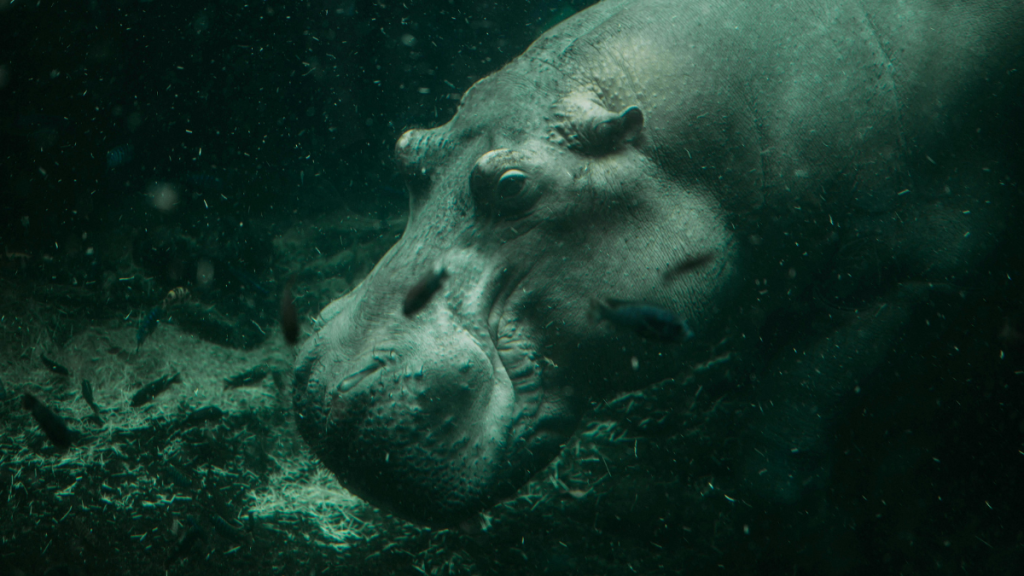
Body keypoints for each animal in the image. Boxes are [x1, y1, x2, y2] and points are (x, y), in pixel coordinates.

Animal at [290, 0, 1024, 522]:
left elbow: (807, 388)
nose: (329, 390)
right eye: (408, 149)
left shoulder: (918, 269)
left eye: (512, 185)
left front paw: (795, 488)